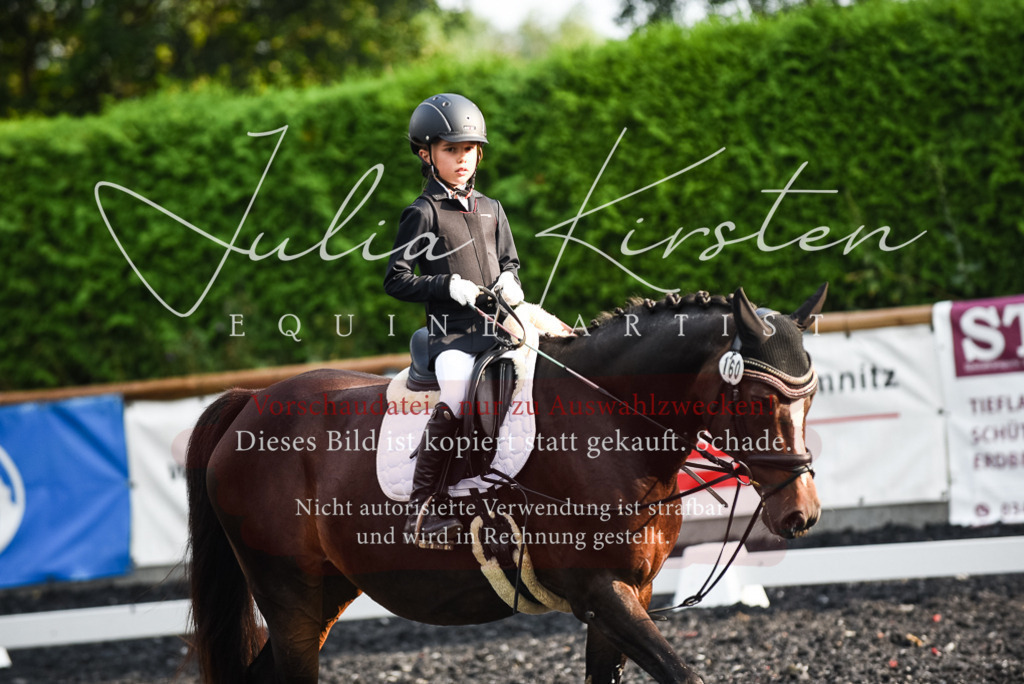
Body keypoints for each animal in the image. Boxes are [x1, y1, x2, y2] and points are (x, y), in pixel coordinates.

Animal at [185, 284, 827, 684]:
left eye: (812, 395)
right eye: (761, 400)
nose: (801, 514)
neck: (611, 424)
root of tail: (250, 403)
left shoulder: (632, 593)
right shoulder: (600, 592)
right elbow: (685, 674)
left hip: (326, 594)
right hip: (289, 595)